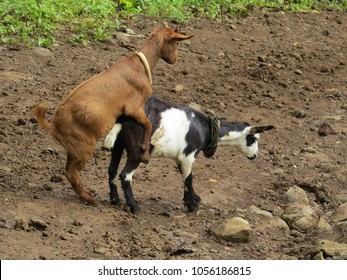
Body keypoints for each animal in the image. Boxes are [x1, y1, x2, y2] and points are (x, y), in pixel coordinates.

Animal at [34, 26, 194, 203]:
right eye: (176, 43)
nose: (175, 58)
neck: (139, 65)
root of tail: (53, 126)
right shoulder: (134, 106)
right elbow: (148, 125)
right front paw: (144, 153)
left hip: (74, 147)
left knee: (69, 170)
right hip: (84, 145)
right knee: (72, 172)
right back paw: (89, 198)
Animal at [106, 95, 274, 213]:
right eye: (254, 139)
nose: (255, 155)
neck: (206, 128)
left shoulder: (181, 159)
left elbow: (186, 177)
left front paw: (194, 199)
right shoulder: (187, 155)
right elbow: (189, 178)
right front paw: (192, 204)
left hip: (118, 144)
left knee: (112, 170)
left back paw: (115, 200)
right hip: (137, 150)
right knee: (125, 175)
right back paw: (134, 206)